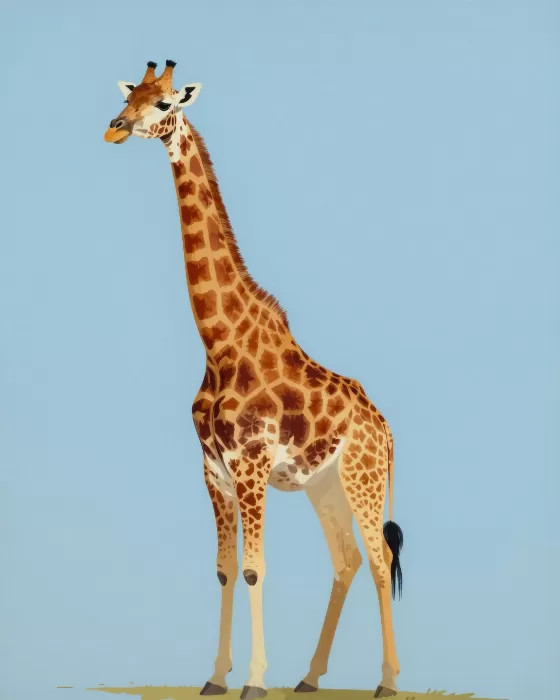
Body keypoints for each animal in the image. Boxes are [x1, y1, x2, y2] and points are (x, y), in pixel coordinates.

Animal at [104, 60, 405, 700]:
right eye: (130, 94)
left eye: (164, 102)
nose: (114, 127)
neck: (219, 343)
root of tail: (387, 430)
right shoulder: (212, 469)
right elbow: (223, 570)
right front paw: (216, 677)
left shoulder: (251, 465)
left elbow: (253, 568)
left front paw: (254, 681)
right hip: (324, 486)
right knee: (346, 558)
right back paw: (310, 677)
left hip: (362, 479)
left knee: (375, 558)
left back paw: (388, 681)